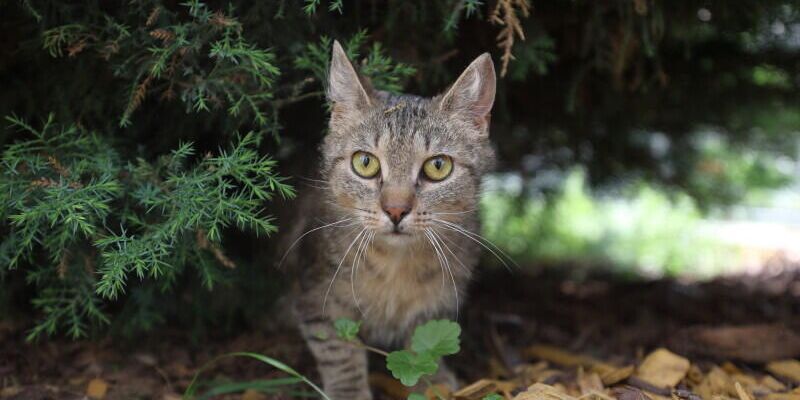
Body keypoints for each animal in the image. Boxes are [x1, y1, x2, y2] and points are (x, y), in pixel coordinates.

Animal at [288, 41, 496, 400]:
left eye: (438, 166)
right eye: (365, 163)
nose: (396, 210)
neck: (396, 265)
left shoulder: (437, 300)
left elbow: (424, 341)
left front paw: (434, 380)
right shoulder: (317, 297)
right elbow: (338, 349)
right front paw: (349, 392)